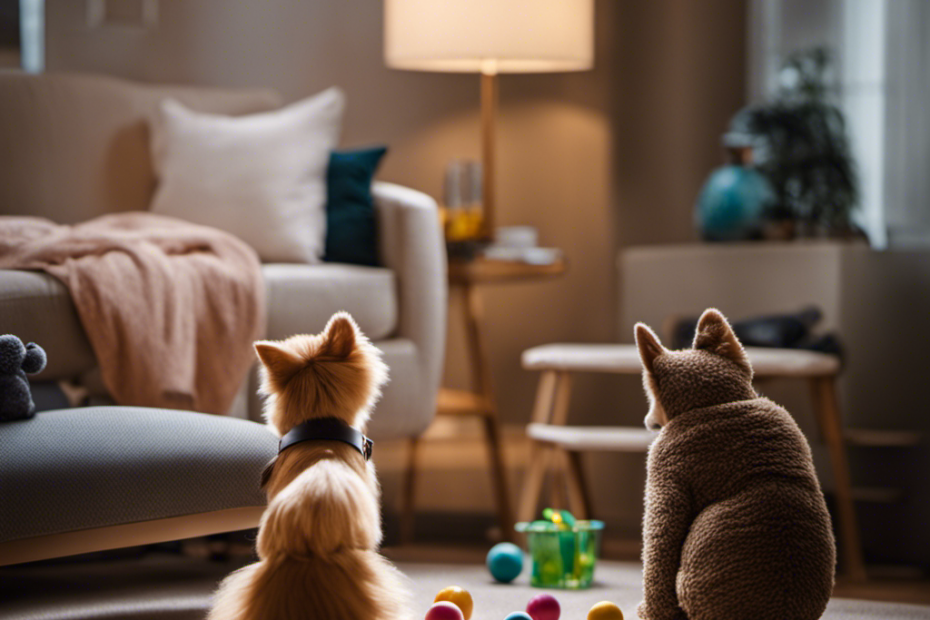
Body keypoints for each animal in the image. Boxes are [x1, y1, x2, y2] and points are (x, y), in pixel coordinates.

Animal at [636, 308, 832, 620]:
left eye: (651, 395)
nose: (646, 420)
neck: (717, 403)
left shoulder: (665, 480)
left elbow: (657, 559)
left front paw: (649, 611)